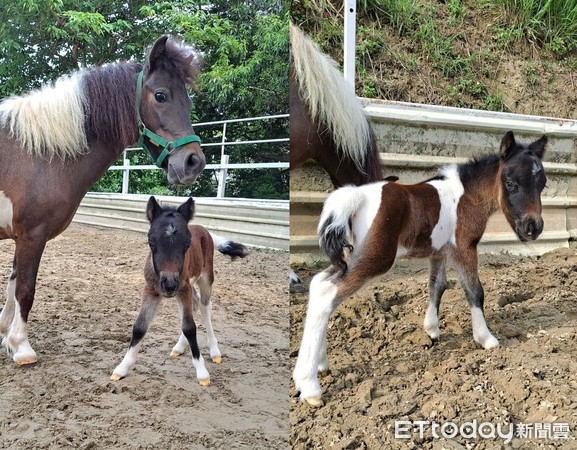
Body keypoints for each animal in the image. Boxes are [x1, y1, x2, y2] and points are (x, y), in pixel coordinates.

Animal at [111, 195, 246, 384]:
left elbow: (189, 327)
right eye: (151, 242)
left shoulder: (183, 288)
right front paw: (122, 368)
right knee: (195, 304)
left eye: (187, 244)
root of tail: (202, 228)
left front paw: (202, 372)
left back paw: (214, 351)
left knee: (205, 306)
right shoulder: (151, 289)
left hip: (204, 279)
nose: (169, 284)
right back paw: (179, 347)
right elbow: (140, 326)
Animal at [294, 130, 548, 404]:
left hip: (349, 258)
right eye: (510, 183)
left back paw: (321, 364)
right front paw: (486, 338)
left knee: (318, 285)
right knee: (327, 294)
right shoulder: (464, 248)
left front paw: (432, 331)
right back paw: (309, 386)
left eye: (542, 184)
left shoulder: (439, 252)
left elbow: (437, 285)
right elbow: (474, 291)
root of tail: (356, 196)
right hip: (375, 258)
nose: (533, 228)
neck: (466, 195)